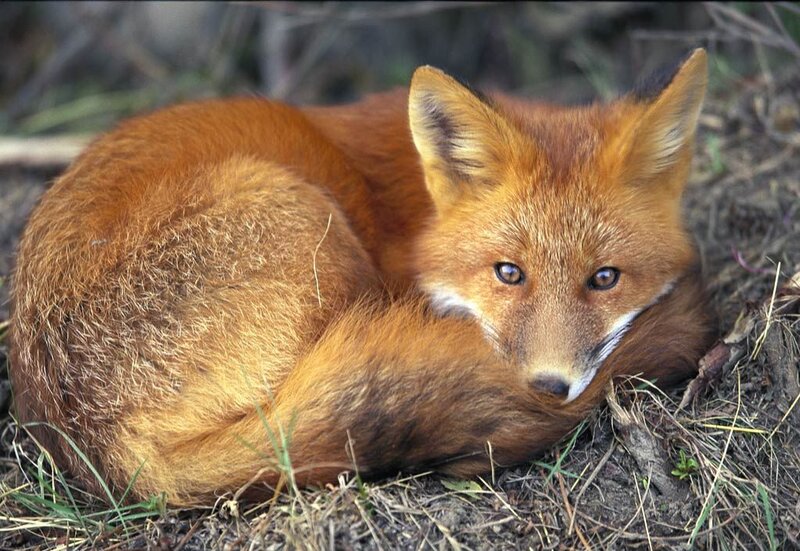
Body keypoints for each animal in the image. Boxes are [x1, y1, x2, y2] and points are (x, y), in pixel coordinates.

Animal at [8, 49, 714, 506]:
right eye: (508, 273)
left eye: (605, 278)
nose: (549, 387)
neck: (420, 212)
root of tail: (105, 449)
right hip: (307, 218)